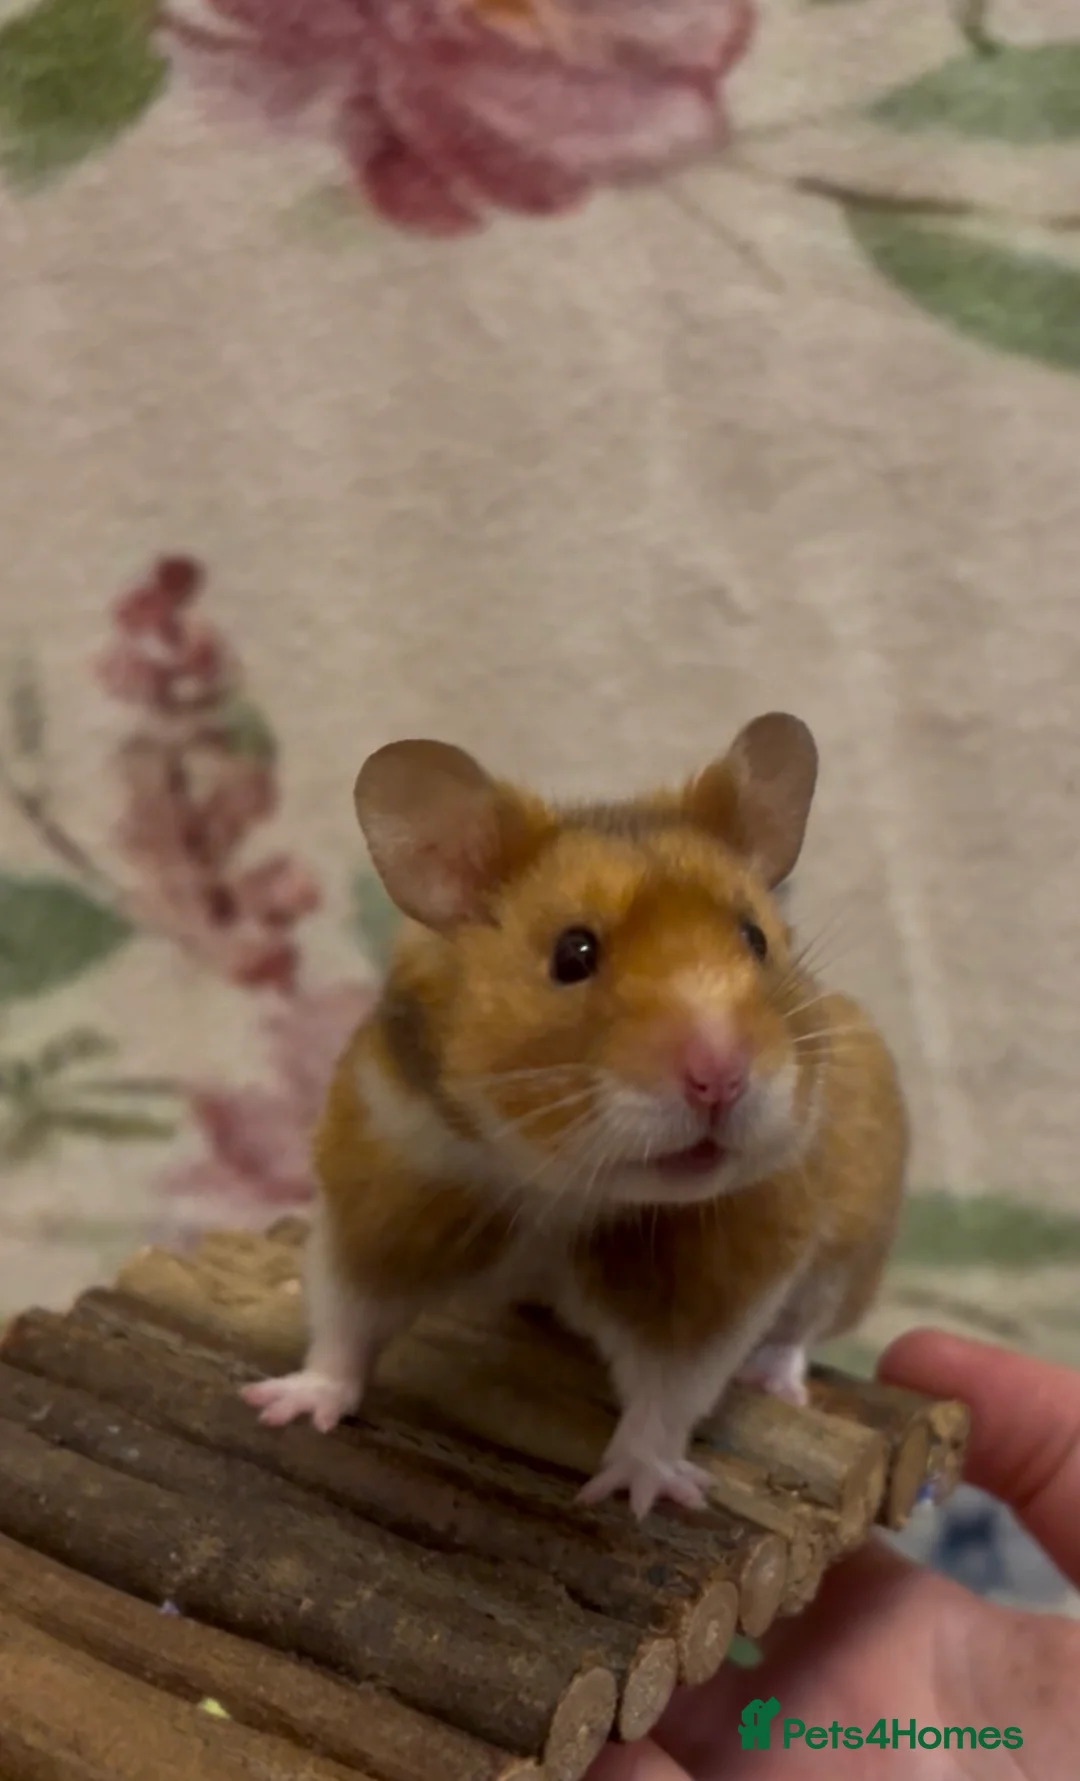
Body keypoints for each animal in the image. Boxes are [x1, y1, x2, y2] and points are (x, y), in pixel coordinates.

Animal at [243, 713, 908, 1519]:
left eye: (756, 939)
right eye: (574, 953)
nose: (720, 1077)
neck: (558, 1182)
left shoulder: (712, 1277)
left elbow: (668, 1396)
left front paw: (640, 1496)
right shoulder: (383, 1195)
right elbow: (345, 1320)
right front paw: (286, 1406)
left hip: (851, 1253)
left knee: (799, 1331)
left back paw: (773, 1381)